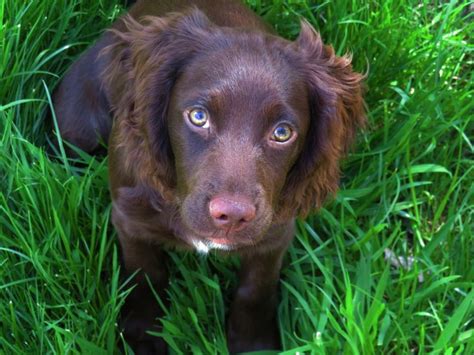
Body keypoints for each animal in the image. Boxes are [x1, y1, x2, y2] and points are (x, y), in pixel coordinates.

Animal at [53, 1, 366, 354]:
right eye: (198, 116)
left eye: (283, 133)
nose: (232, 215)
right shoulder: (129, 216)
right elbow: (146, 273)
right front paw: (143, 337)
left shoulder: (275, 230)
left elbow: (256, 287)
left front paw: (253, 344)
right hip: (74, 128)